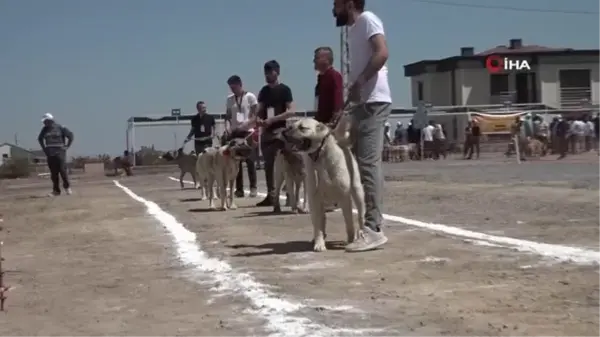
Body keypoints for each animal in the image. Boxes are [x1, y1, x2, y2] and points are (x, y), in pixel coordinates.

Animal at [282, 117, 366, 251]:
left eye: (302, 128)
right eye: (291, 127)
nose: (283, 132)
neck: (320, 156)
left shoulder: (344, 198)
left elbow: (349, 222)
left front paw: (351, 239)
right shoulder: (315, 200)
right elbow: (318, 226)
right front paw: (319, 243)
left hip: (357, 193)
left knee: (360, 216)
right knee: (321, 221)